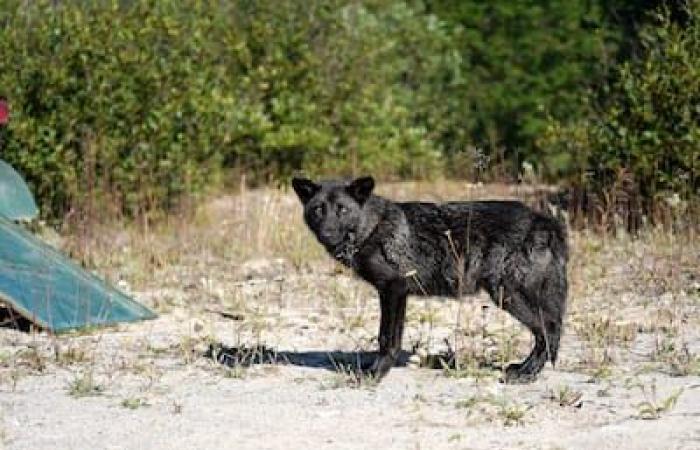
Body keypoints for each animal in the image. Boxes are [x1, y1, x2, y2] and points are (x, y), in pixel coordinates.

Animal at [292, 176, 568, 384]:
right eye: (318, 209)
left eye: (342, 209)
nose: (327, 234)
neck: (372, 229)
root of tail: (544, 220)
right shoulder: (396, 293)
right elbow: (390, 337)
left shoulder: (393, 290)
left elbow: (386, 339)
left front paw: (376, 373)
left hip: (506, 295)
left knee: (549, 329)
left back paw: (526, 373)